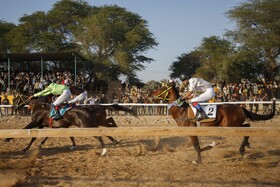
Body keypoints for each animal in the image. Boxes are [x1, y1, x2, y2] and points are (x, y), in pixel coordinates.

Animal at [7, 95, 137, 155]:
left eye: (15, 99)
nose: (13, 108)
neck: (39, 107)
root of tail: (90, 108)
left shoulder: (35, 122)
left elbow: (24, 129)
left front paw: (8, 139)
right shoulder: (46, 125)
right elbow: (37, 136)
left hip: (87, 126)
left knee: (101, 133)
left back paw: (104, 150)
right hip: (94, 123)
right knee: (107, 125)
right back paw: (114, 140)